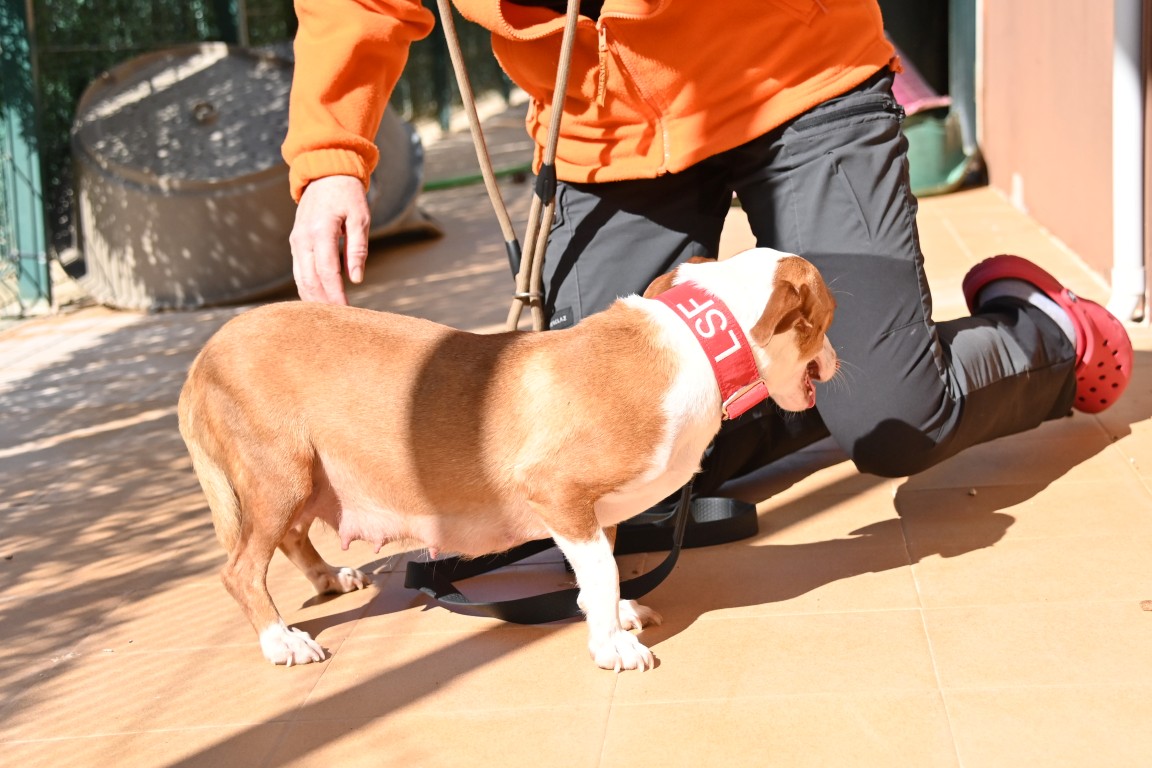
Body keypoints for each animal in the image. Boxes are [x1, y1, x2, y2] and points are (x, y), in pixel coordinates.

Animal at [177, 246, 837, 671]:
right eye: (825, 320)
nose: (834, 363)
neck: (695, 344)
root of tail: (203, 358)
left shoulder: (596, 512)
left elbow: (600, 570)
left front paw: (610, 615)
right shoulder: (558, 492)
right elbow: (602, 571)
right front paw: (610, 648)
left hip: (302, 480)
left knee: (289, 539)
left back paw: (328, 579)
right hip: (280, 474)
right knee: (241, 570)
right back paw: (281, 641)